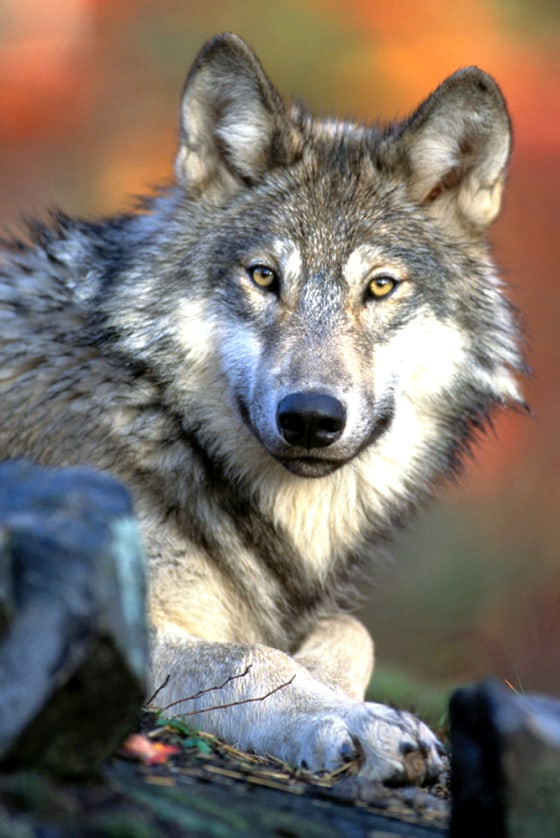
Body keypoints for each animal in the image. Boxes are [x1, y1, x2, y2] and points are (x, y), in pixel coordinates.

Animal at [0, 33, 525, 783]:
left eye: (380, 287)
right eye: (264, 277)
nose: (310, 417)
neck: (161, 420)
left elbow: (351, 630)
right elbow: (252, 656)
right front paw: (356, 721)